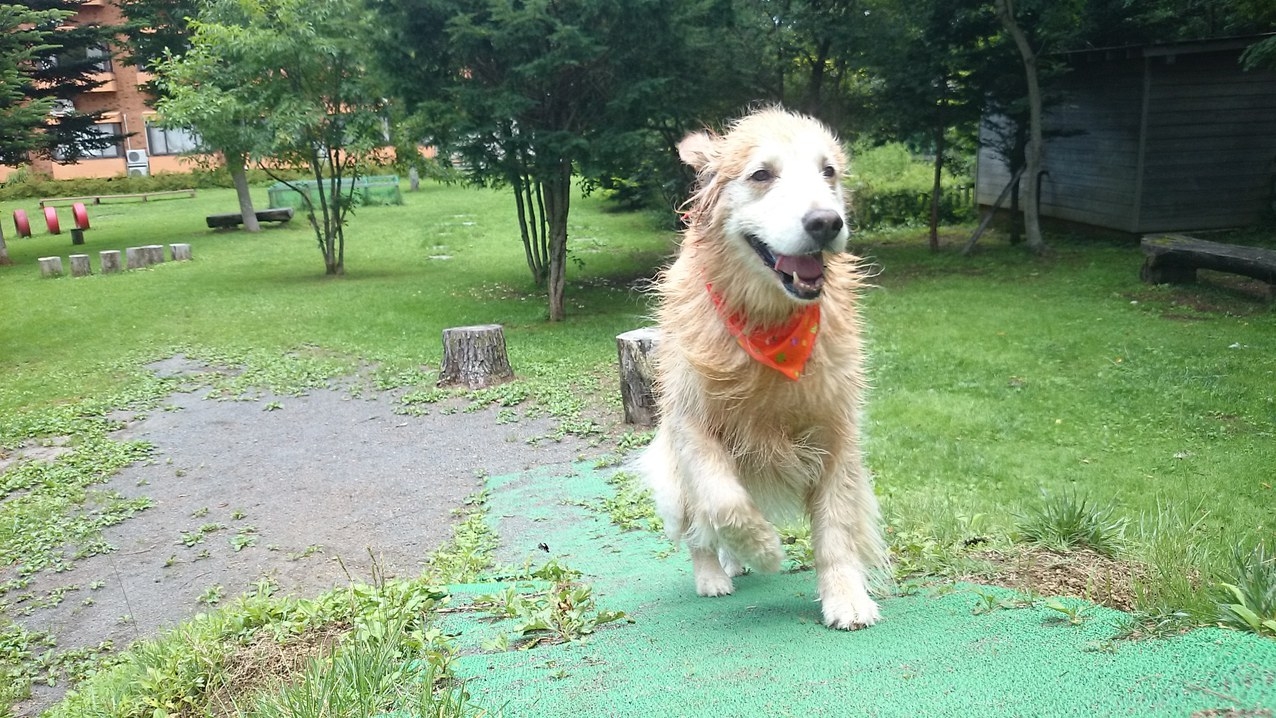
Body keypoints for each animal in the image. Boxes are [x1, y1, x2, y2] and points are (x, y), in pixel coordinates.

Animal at [638, 105, 888, 630]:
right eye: (761, 174)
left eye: (828, 172)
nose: (827, 222)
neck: (768, 323)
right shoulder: (691, 423)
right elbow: (725, 501)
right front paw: (764, 549)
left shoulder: (837, 429)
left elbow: (836, 525)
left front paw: (846, 597)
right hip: (673, 483)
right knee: (698, 530)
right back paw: (714, 574)